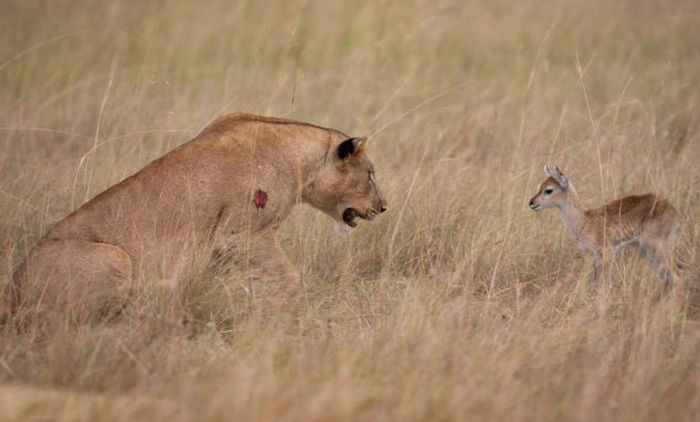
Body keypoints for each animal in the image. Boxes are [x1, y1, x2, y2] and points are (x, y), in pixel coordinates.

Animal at [528, 166, 680, 288]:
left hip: (657, 248)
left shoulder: (606, 254)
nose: (532, 202)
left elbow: (601, 287)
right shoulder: (595, 258)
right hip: (647, 252)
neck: (584, 221)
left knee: (677, 277)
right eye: (540, 187)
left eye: (548, 190)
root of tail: (672, 209)